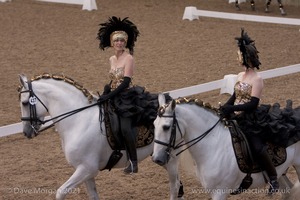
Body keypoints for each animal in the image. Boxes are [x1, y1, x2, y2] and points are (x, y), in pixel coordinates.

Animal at [18, 74, 164, 200]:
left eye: (25, 103)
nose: (26, 132)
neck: (78, 120)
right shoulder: (85, 171)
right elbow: (93, 196)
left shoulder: (87, 168)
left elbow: (60, 193)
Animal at [152, 94, 300, 200]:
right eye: (153, 125)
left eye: (166, 127)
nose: (156, 159)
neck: (213, 145)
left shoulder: (220, 192)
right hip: (281, 170)